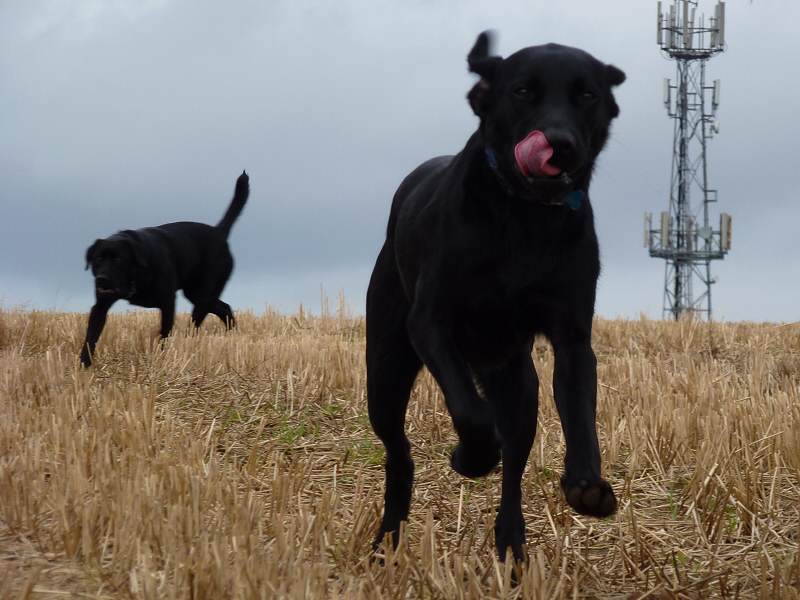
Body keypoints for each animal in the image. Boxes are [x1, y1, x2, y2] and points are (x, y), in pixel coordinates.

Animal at [80, 169, 250, 366]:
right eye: (97, 259)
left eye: (119, 260)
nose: (102, 278)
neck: (137, 275)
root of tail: (219, 232)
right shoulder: (100, 306)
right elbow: (91, 336)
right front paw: (84, 364)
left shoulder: (168, 301)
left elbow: (164, 334)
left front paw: (162, 358)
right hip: (196, 293)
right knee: (224, 308)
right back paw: (231, 335)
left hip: (202, 294)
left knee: (199, 321)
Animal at [368, 32, 624, 564]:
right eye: (522, 91)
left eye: (586, 95)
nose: (560, 143)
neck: (525, 218)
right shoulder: (432, 322)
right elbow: (469, 412)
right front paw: (471, 456)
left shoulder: (573, 337)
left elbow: (580, 412)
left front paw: (586, 484)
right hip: (384, 373)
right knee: (400, 455)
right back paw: (388, 540)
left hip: (518, 384)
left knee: (514, 467)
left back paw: (511, 544)